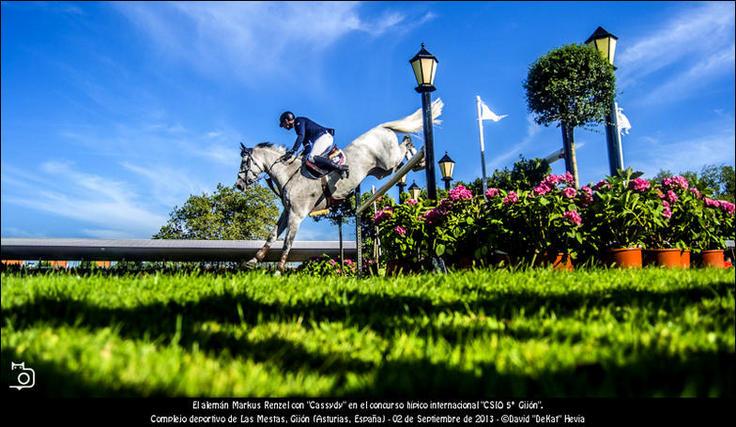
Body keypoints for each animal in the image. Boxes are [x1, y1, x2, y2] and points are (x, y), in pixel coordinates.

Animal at [236, 99, 442, 272]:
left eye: (244, 163)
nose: (238, 185)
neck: (289, 174)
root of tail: (381, 127)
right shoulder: (287, 212)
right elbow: (272, 235)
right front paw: (252, 261)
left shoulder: (297, 214)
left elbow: (288, 242)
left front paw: (279, 270)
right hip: (383, 170)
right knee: (401, 156)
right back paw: (417, 161)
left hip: (387, 161)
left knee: (405, 143)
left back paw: (420, 158)